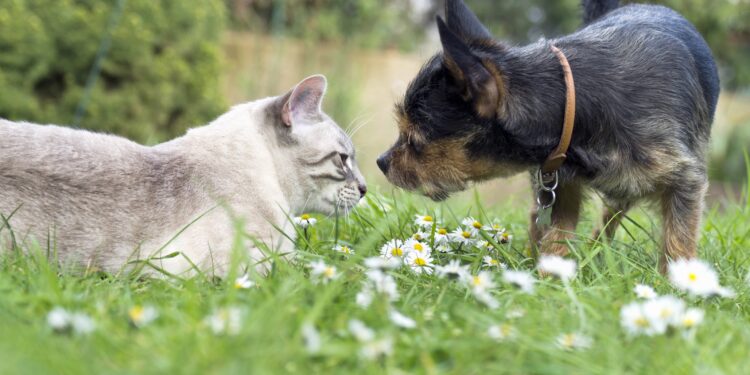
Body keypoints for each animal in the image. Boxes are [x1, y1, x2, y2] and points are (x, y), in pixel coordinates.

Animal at [382, 0, 724, 272]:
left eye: (414, 139)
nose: (381, 162)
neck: (572, 99)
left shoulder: (685, 180)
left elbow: (678, 239)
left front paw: (678, 285)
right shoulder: (562, 189)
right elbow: (556, 238)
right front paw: (550, 281)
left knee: (613, 213)